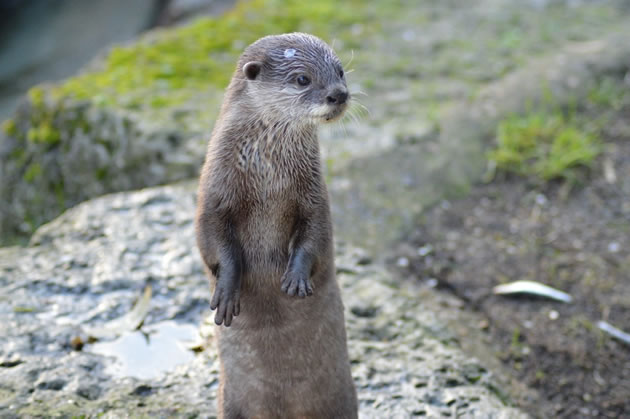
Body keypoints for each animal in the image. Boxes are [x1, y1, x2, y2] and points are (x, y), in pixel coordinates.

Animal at [195, 33, 358, 419]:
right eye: (302, 79)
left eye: (340, 71)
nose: (339, 94)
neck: (267, 174)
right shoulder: (214, 193)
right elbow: (213, 241)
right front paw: (227, 290)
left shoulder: (313, 194)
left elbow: (315, 234)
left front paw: (296, 278)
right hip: (229, 400)